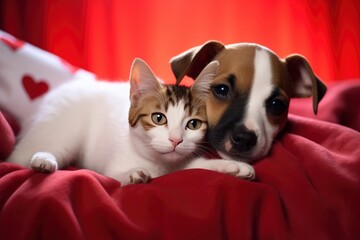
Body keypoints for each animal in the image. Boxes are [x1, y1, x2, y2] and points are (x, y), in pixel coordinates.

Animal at [7, 58, 256, 186]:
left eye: (193, 124)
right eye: (158, 118)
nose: (176, 140)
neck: (158, 163)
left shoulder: (180, 164)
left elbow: (198, 167)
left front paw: (233, 166)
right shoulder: (110, 166)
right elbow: (112, 174)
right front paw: (134, 173)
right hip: (63, 130)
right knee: (25, 155)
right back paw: (43, 160)